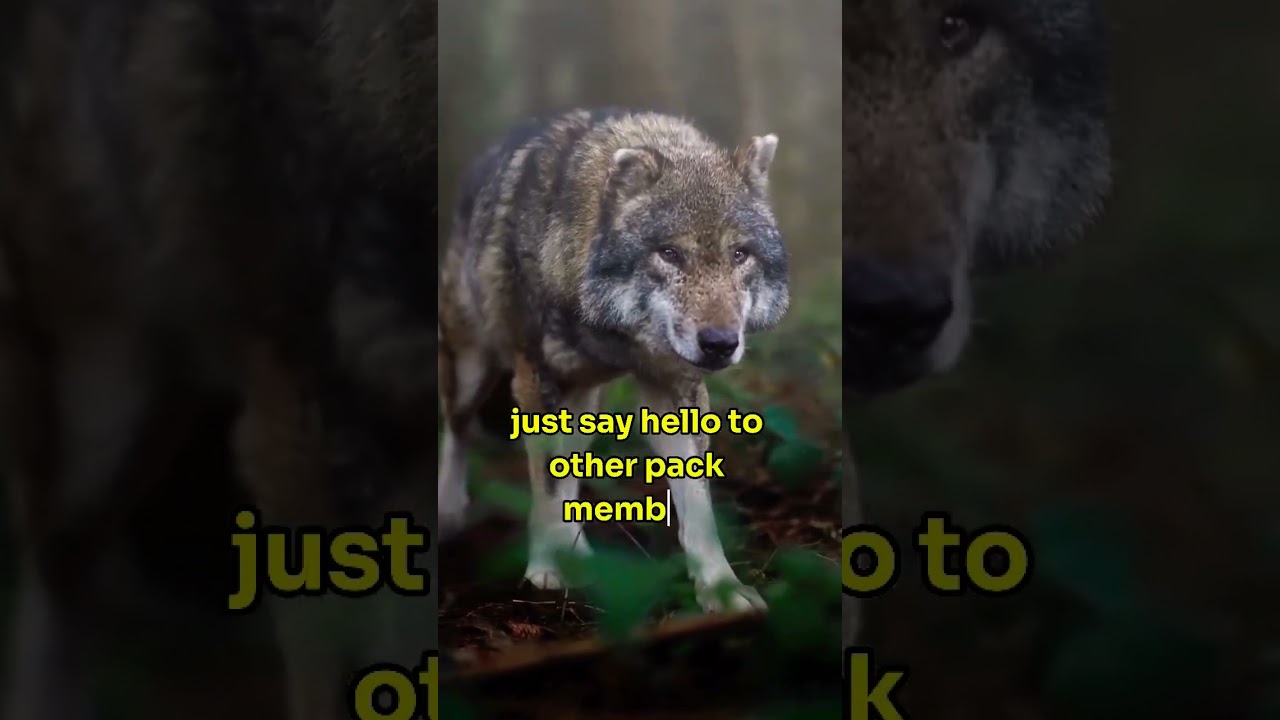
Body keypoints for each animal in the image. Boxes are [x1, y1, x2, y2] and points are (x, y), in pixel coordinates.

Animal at [437, 108, 790, 613]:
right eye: (670, 253)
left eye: (740, 254)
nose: (720, 343)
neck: (616, 335)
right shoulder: (534, 380)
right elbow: (546, 486)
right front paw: (548, 570)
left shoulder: (674, 387)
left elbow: (696, 505)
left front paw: (721, 589)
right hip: (473, 369)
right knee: (456, 427)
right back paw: (449, 513)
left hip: (584, 406)